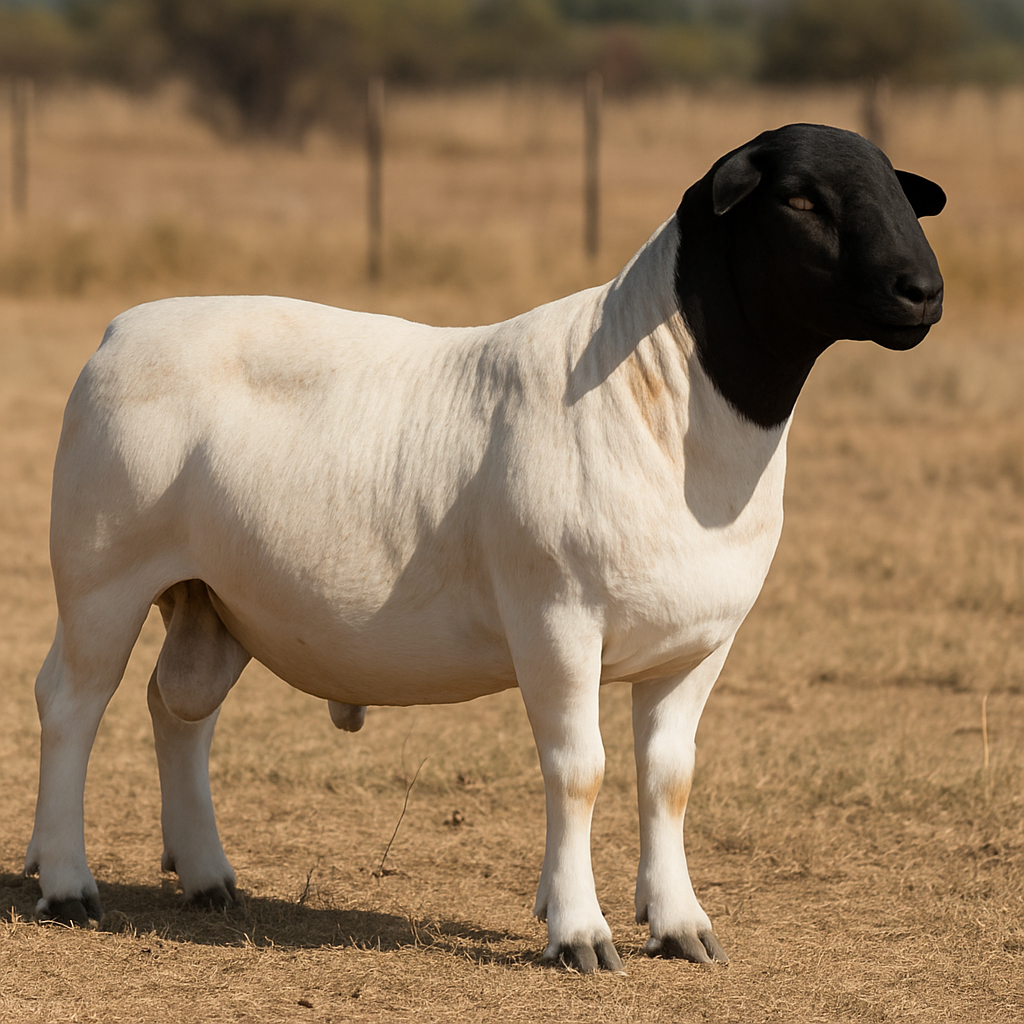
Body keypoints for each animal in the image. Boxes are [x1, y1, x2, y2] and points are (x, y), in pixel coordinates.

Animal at [24, 124, 944, 972]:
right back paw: (67, 884)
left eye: (899, 192)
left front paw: (680, 924)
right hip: (102, 571)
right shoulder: (557, 620)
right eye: (801, 199)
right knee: (71, 704)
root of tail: (122, 328)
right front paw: (579, 934)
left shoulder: (700, 641)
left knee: (179, 710)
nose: (923, 290)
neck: (666, 396)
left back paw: (207, 876)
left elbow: (668, 777)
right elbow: (579, 770)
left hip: (213, 599)